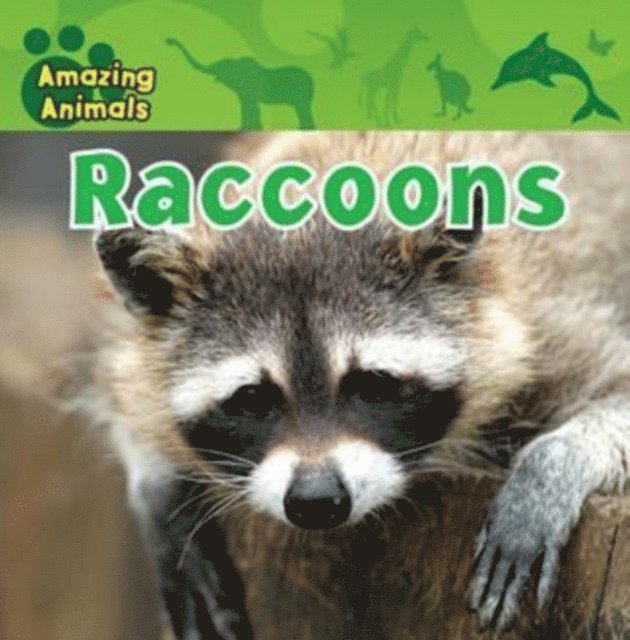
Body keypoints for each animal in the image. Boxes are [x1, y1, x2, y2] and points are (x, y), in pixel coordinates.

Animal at [88, 132, 630, 638]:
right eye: (253, 398)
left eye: (372, 385)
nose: (316, 499)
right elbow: (125, 387)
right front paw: (160, 486)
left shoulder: (544, 330)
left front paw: (551, 468)